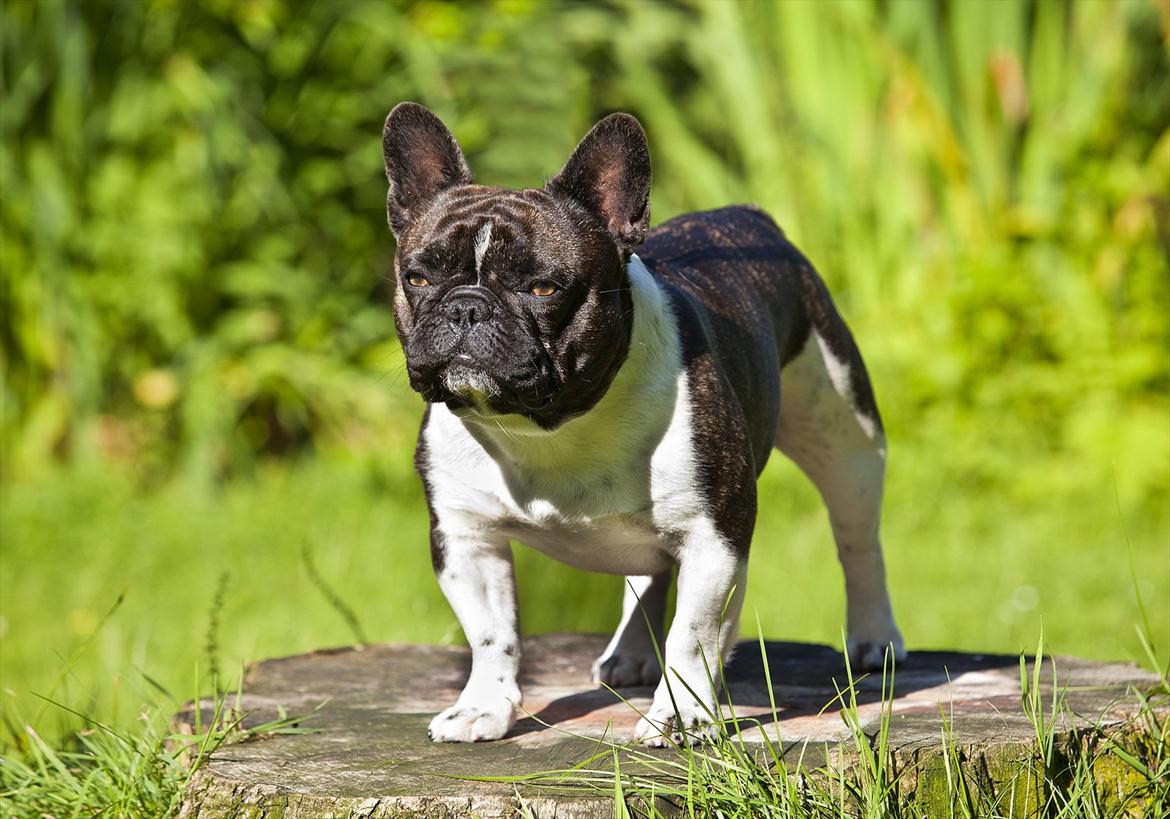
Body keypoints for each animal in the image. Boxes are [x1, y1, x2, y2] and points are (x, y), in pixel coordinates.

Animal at [381, 102, 903, 748]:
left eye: (545, 288)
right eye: (417, 279)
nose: (467, 306)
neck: (548, 428)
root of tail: (748, 216)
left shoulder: (713, 535)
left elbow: (694, 636)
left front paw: (680, 718)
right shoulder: (465, 535)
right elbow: (490, 632)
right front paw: (483, 707)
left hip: (847, 438)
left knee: (858, 540)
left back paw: (875, 639)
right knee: (646, 574)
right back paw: (629, 652)